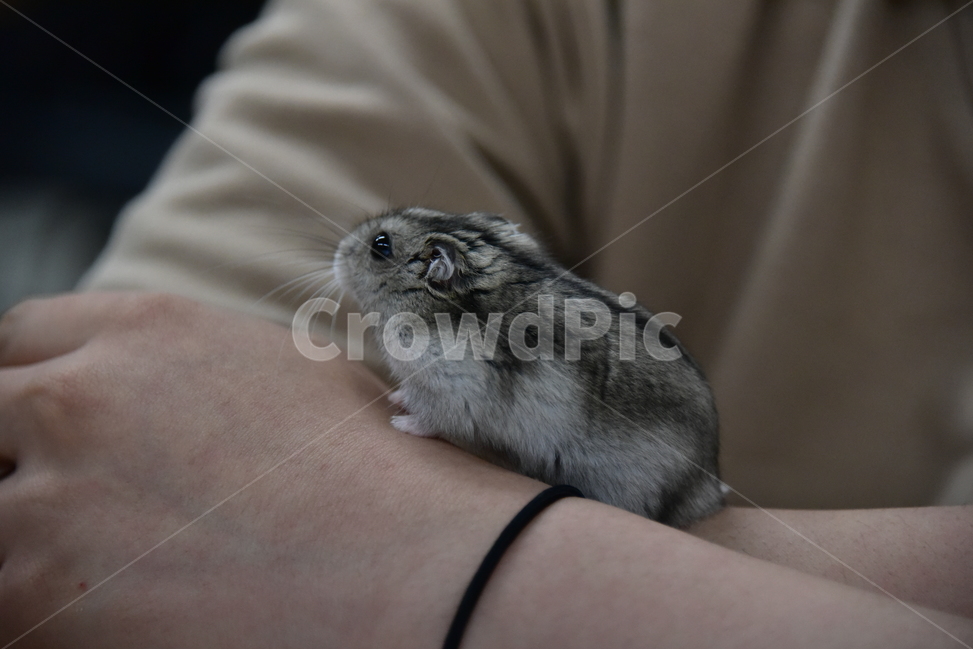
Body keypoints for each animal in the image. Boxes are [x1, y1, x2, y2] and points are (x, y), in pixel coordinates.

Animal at [333, 207, 724, 527]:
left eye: (380, 245)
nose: (339, 251)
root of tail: (707, 488)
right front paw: (397, 398)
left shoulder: (453, 392)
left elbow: (433, 419)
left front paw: (400, 423)